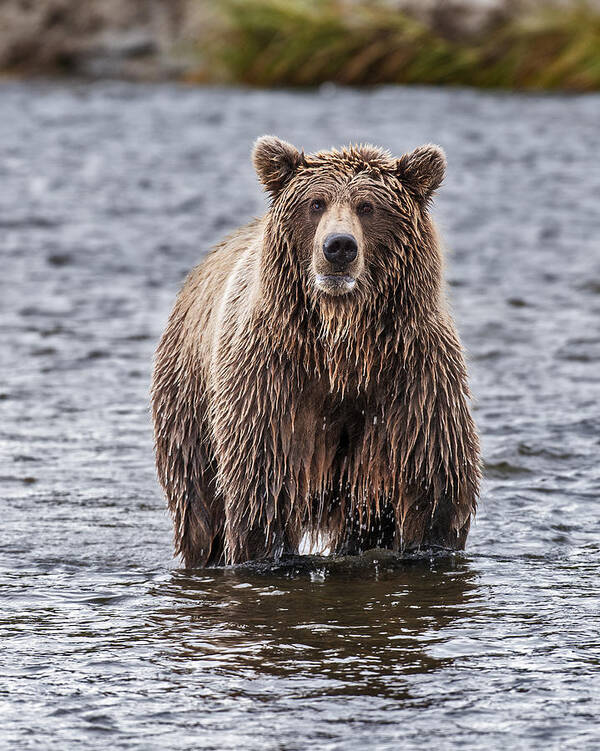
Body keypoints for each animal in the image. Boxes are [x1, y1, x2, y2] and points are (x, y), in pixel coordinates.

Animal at [152, 137, 480, 568]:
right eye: (316, 202)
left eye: (367, 206)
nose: (338, 247)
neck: (342, 345)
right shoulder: (273, 381)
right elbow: (263, 488)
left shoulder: (411, 379)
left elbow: (430, 487)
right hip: (188, 404)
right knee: (201, 512)